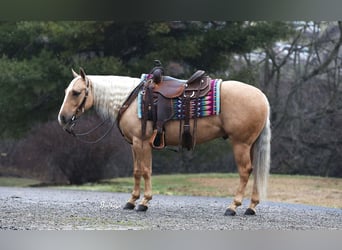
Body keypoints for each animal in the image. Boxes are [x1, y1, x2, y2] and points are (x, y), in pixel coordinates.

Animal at [57, 67, 270, 216]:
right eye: (67, 90)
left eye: (76, 92)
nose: (63, 118)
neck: (130, 99)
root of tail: (262, 97)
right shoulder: (134, 144)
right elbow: (137, 171)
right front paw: (131, 201)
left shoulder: (141, 142)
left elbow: (145, 171)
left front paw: (144, 203)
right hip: (251, 145)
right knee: (255, 171)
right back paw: (251, 207)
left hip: (240, 144)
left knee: (245, 171)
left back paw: (233, 207)